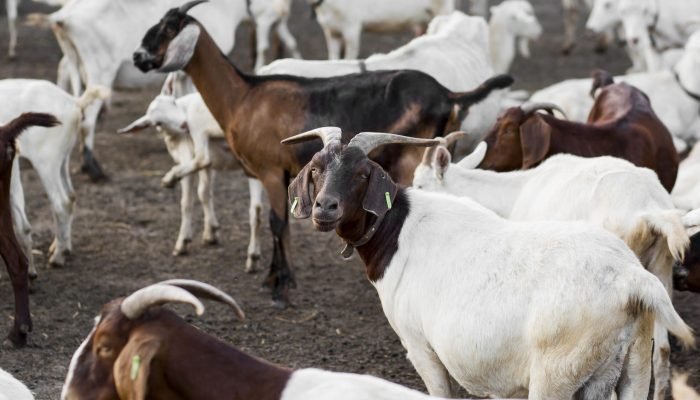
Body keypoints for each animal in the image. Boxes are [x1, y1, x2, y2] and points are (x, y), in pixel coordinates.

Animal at [0, 80, 108, 274]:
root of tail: (74, 102)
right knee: (70, 197)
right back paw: (63, 247)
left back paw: (57, 257)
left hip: (47, 163)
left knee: (61, 203)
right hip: (62, 160)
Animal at [49, 0, 300, 181]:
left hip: (74, 62)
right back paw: (93, 168)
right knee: (87, 118)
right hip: (100, 71)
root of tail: (64, 17)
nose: (282, 12)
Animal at [119, 86, 264, 272]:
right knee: (257, 209)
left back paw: (169, 178)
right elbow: (205, 193)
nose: (183, 124)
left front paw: (183, 242)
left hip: (199, 125)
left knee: (203, 158)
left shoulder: (186, 155)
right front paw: (211, 232)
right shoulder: (209, 167)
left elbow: (187, 201)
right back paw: (253, 257)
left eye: (173, 102)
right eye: (157, 123)